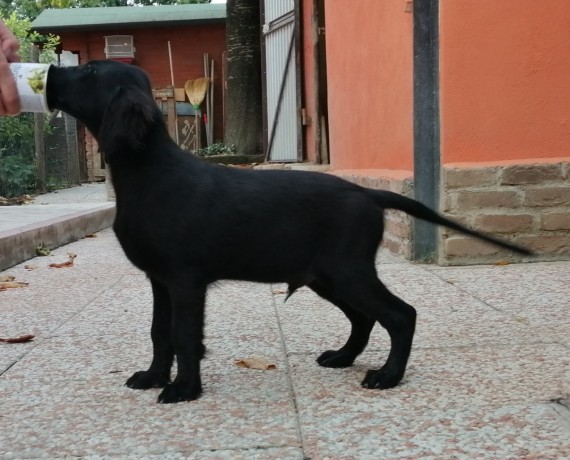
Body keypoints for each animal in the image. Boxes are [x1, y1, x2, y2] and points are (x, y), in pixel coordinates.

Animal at [46, 60, 532, 402]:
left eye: (89, 72)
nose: (50, 71)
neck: (148, 172)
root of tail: (369, 194)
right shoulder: (158, 281)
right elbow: (159, 333)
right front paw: (151, 377)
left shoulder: (185, 281)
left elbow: (184, 336)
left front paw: (184, 389)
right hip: (327, 277)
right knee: (365, 317)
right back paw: (342, 357)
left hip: (348, 272)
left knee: (400, 315)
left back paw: (387, 376)